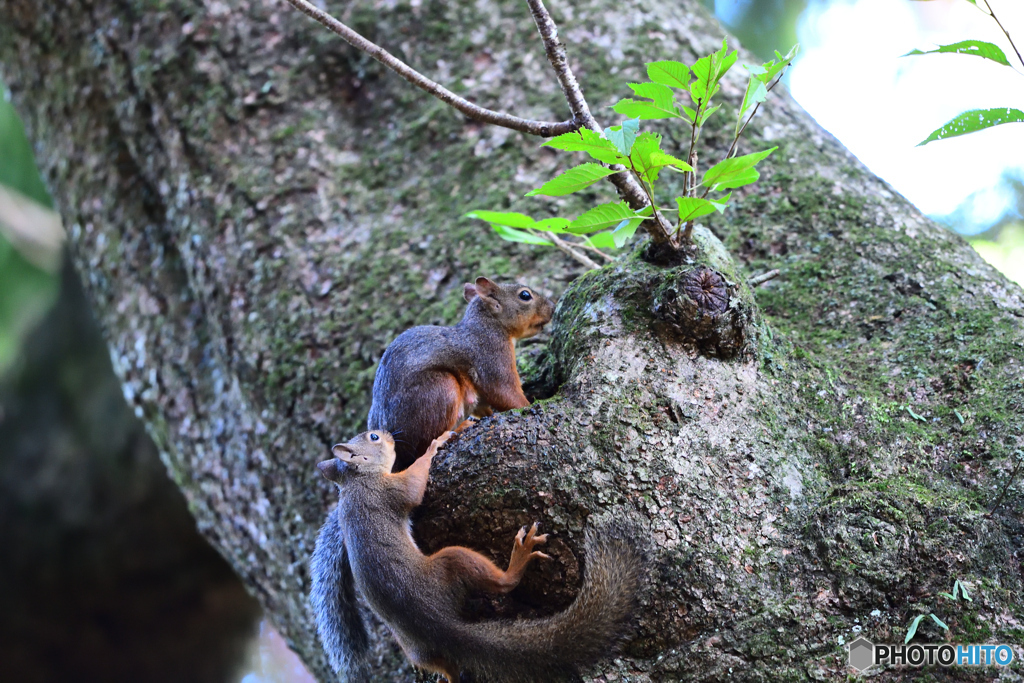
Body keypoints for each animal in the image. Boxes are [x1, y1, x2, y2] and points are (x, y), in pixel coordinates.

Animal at [307, 430, 643, 679]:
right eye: (374, 437)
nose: (389, 433)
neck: (356, 481)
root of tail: (437, 623)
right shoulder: (391, 491)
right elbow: (415, 487)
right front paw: (435, 444)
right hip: (452, 561)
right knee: (502, 584)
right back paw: (520, 557)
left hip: (415, 650)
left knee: (443, 665)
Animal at [368, 276, 557, 471]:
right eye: (525, 295)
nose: (552, 306)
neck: (489, 325)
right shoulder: (491, 356)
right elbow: (504, 392)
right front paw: (529, 406)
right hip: (441, 389)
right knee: (424, 447)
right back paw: (460, 428)